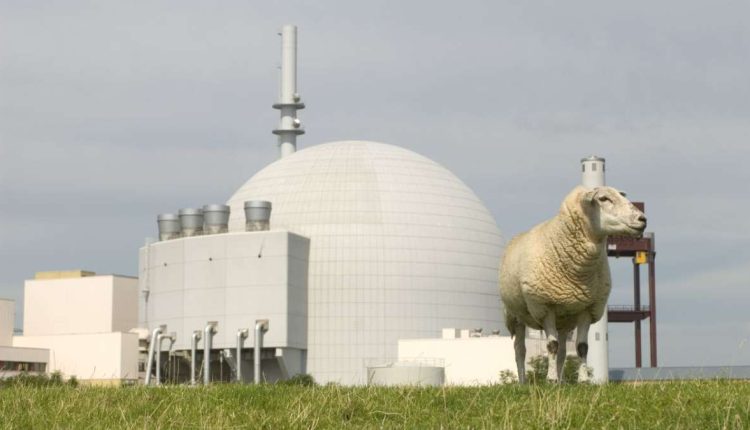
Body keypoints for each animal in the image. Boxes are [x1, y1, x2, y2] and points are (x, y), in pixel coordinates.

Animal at [500, 185, 648, 382]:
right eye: (603, 199)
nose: (642, 219)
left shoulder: (587, 308)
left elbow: (582, 347)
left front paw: (583, 380)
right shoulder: (545, 307)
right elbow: (551, 346)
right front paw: (550, 379)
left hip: (564, 319)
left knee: (563, 351)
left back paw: (561, 382)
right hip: (515, 316)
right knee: (520, 350)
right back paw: (523, 381)